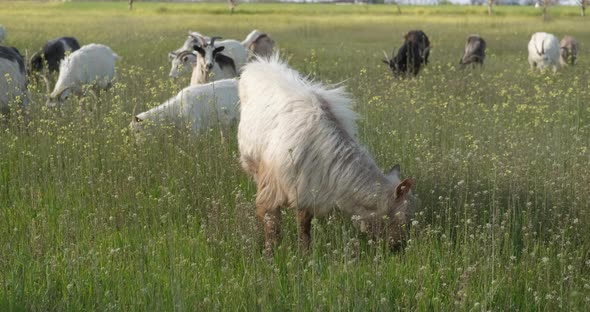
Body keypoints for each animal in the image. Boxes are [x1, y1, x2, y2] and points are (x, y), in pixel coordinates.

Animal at [238, 55, 418, 256]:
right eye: (400, 219)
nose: (397, 248)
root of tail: (258, 62)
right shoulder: (271, 189)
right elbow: (272, 226)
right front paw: (270, 255)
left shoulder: (307, 189)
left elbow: (304, 224)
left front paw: (305, 252)